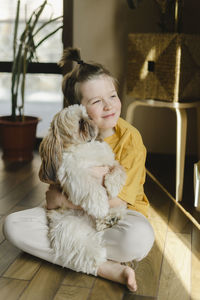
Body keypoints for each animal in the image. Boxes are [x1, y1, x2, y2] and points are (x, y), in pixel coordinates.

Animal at [38, 104, 126, 276]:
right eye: (79, 122)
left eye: (89, 115)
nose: (89, 119)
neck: (85, 146)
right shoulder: (73, 173)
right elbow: (91, 187)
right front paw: (99, 205)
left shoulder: (109, 162)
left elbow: (119, 169)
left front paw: (112, 185)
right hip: (67, 225)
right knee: (81, 245)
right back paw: (97, 255)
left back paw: (110, 218)